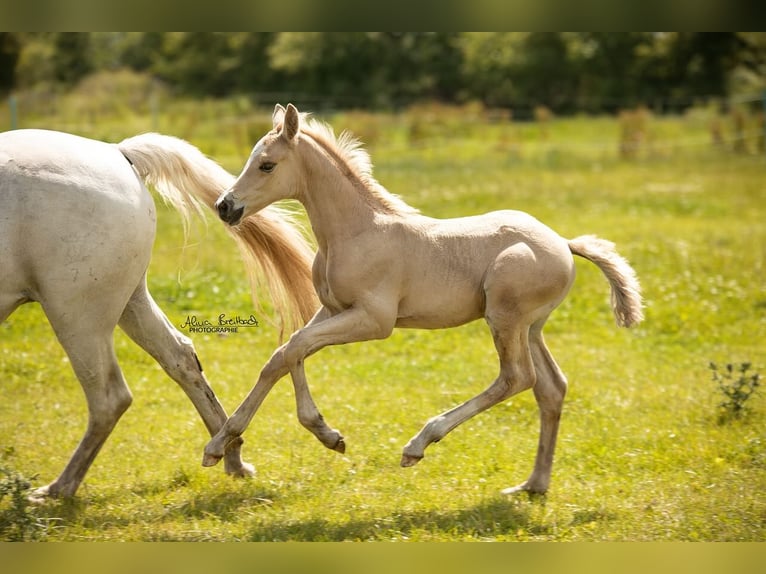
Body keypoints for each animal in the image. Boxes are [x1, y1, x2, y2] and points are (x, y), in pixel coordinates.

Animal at [0, 128, 318, 498]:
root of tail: (119, 152)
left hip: (78, 316)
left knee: (110, 397)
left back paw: (58, 489)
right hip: (129, 302)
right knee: (180, 358)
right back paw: (231, 455)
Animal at [207, 104, 644, 500]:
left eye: (266, 165)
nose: (225, 206)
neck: (357, 232)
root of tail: (564, 244)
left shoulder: (374, 320)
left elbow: (295, 347)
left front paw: (326, 433)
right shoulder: (332, 310)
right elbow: (282, 356)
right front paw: (219, 445)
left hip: (505, 317)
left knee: (517, 377)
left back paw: (419, 444)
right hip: (531, 327)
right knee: (551, 387)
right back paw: (533, 485)